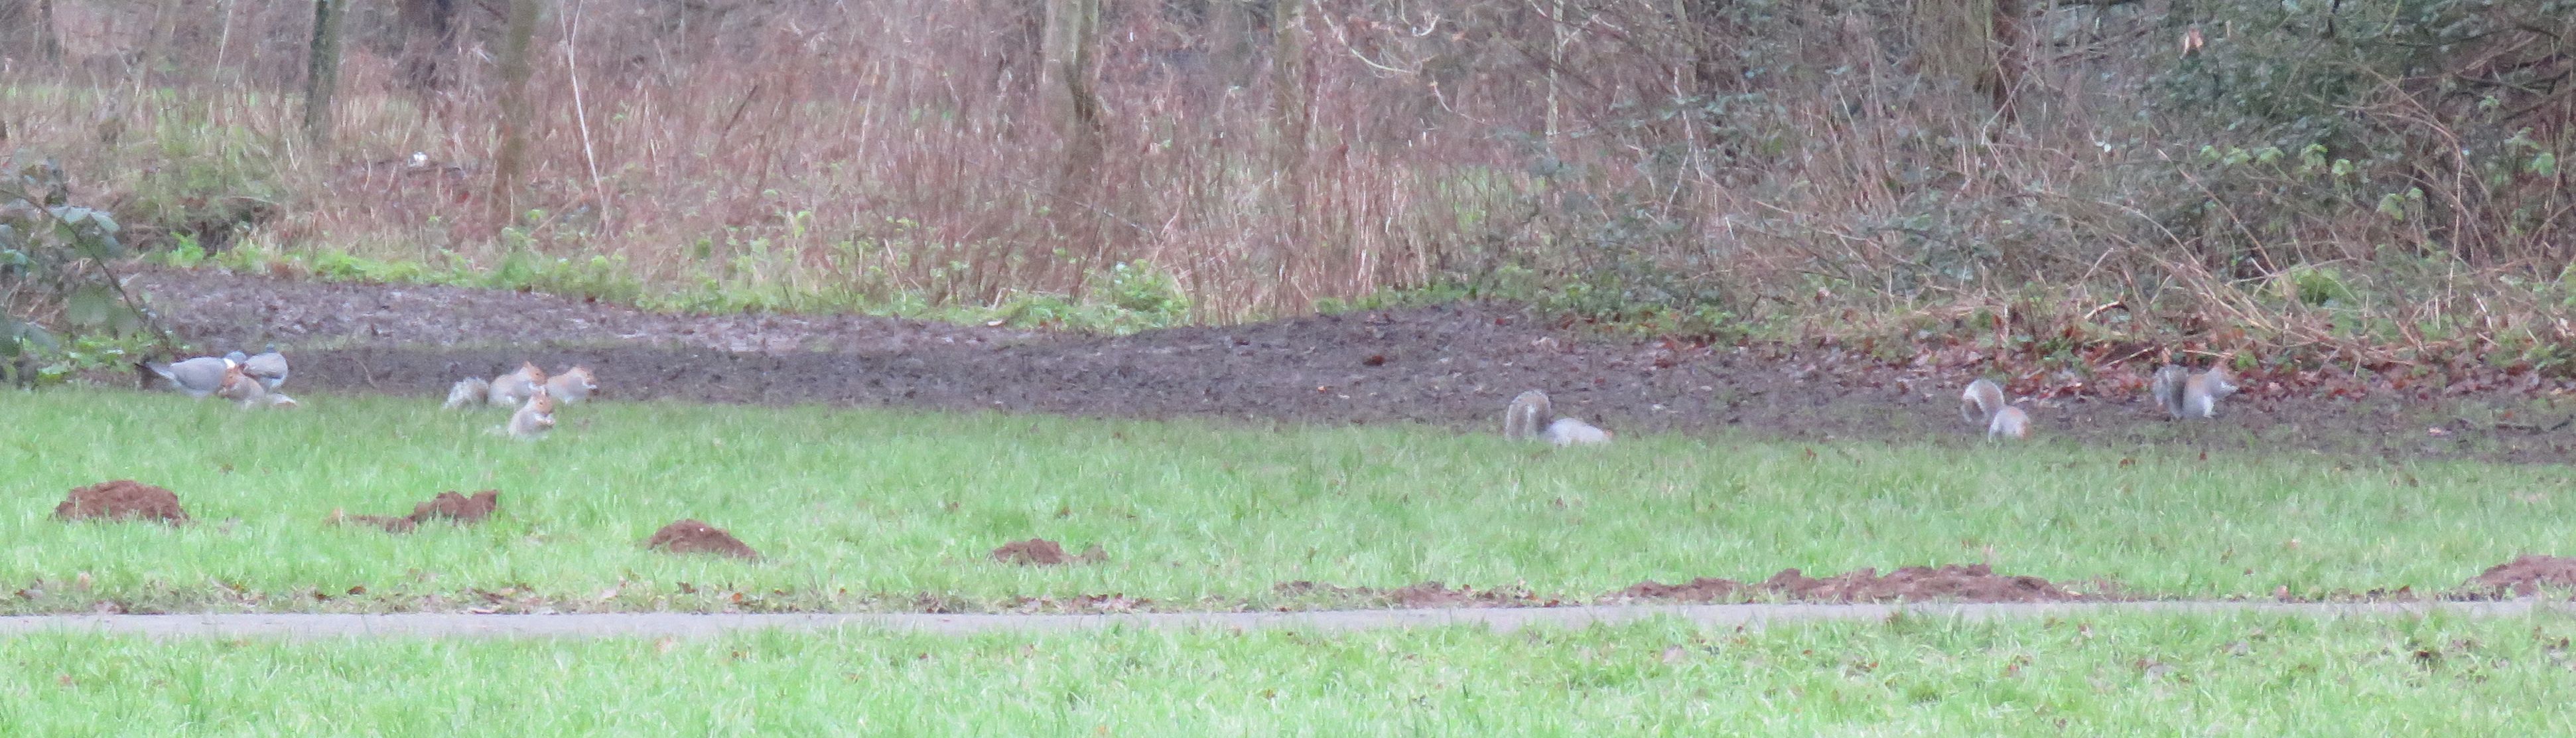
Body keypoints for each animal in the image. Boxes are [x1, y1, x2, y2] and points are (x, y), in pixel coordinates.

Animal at [2149, 363, 2238, 419]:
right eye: (2229, 372)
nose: (2236, 379)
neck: (2216, 375)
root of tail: (2186, 414)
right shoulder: (2213, 384)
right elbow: (2218, 393)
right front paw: (2233, 389)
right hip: (2204, 404)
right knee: (2203, 416)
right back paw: (2209, 416)